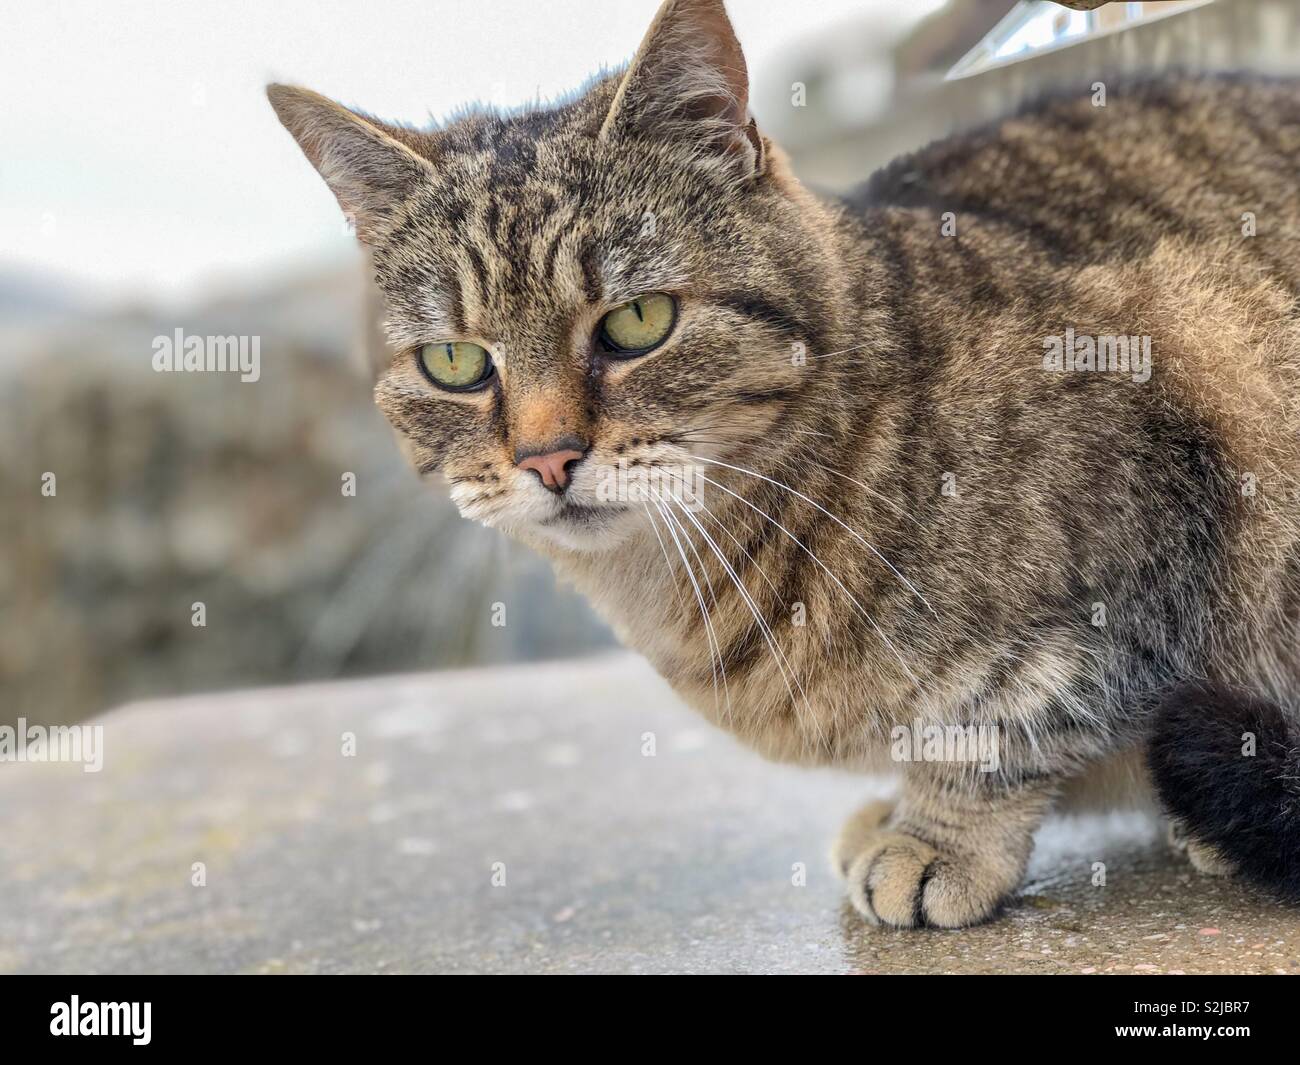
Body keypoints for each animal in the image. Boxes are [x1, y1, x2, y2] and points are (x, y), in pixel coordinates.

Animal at [271, 0, 1300, 925]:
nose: (548, 457)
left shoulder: (1151, 497)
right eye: (455, 362)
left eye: (637, 321)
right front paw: (898, 811)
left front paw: (937, 836)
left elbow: (1009, 715)